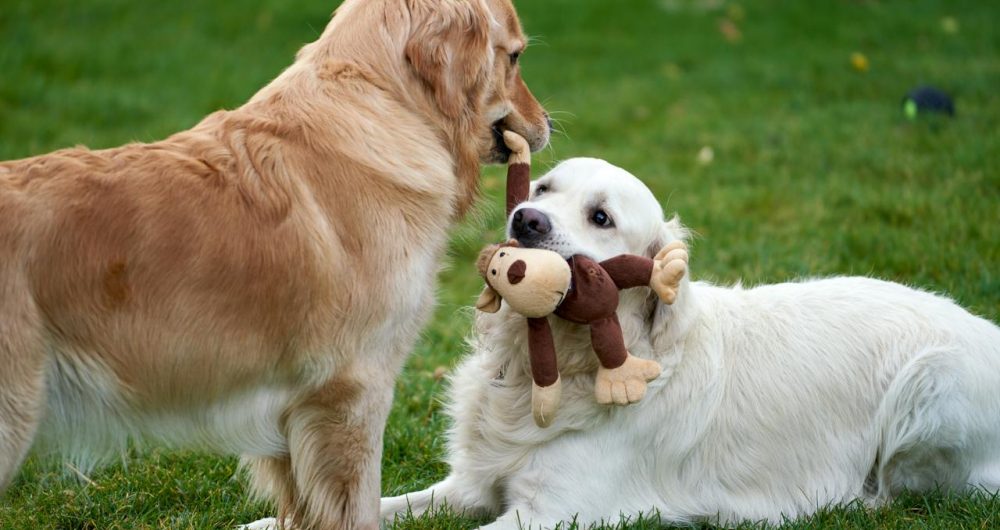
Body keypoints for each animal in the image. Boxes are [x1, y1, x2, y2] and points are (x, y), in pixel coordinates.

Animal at [380, 158, 1000, 528]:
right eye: (542, 188)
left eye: (600, 217)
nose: (525, 219)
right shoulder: (472, 483)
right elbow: (387, 506)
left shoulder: (555, 511)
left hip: (931, 385)